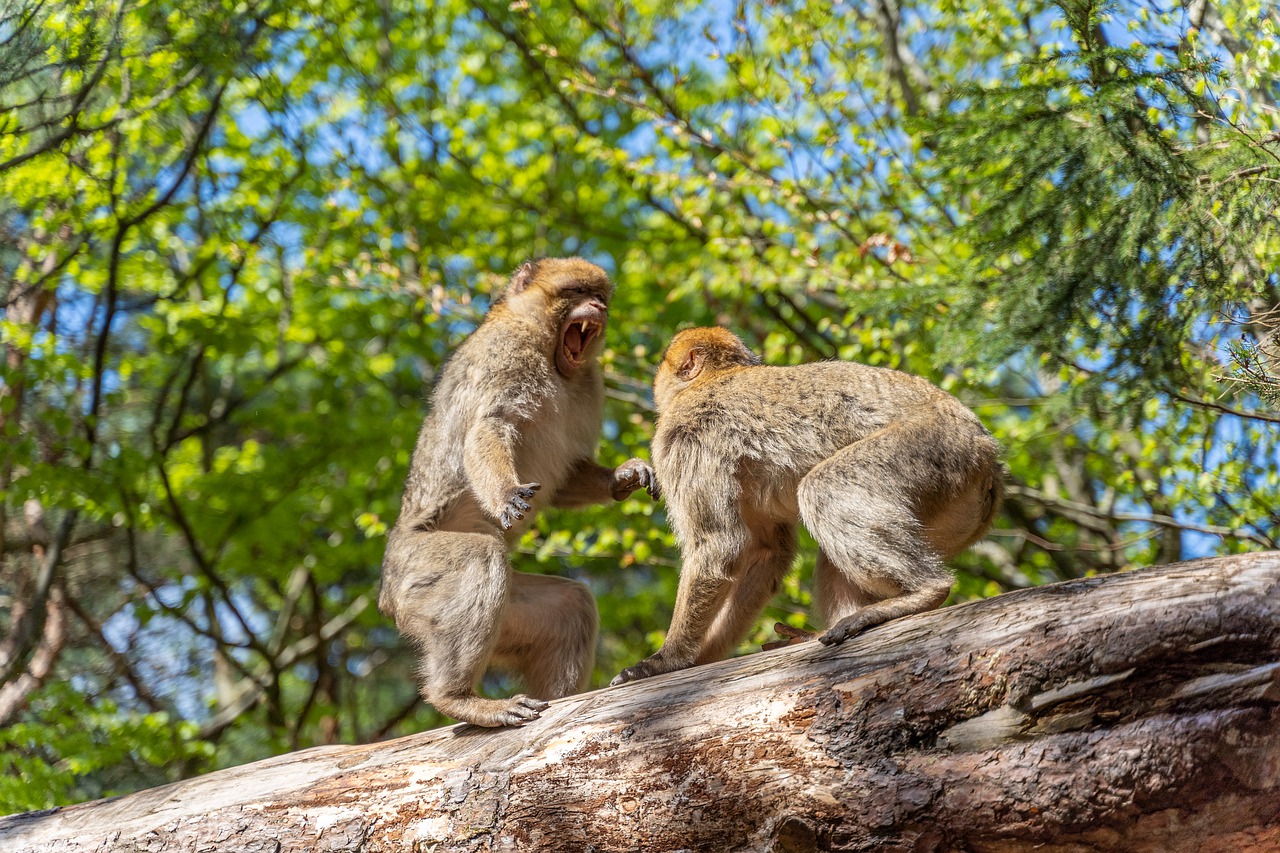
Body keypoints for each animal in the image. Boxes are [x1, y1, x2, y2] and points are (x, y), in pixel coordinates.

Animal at [376, 256, 660, 722]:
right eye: (578, 291)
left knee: (571, 606)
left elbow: (565, 477)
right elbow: (490, 425)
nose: (599, 307)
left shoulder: (588, 380)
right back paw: (458, 698)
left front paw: (624, 477)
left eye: (601, 295)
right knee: (480, 557)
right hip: (412, 575)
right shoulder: (507, 353)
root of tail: (385, 596)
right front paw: (507, 493)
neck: (548, 352)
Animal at [609, 325, 998, 686]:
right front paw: (701, 658)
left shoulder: (685, 437)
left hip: (930, 447)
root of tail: (988, 455)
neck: (715, 378)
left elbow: (719, 546)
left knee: (823, 488)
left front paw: (667, 661)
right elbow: (767, 551)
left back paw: (925, 592)